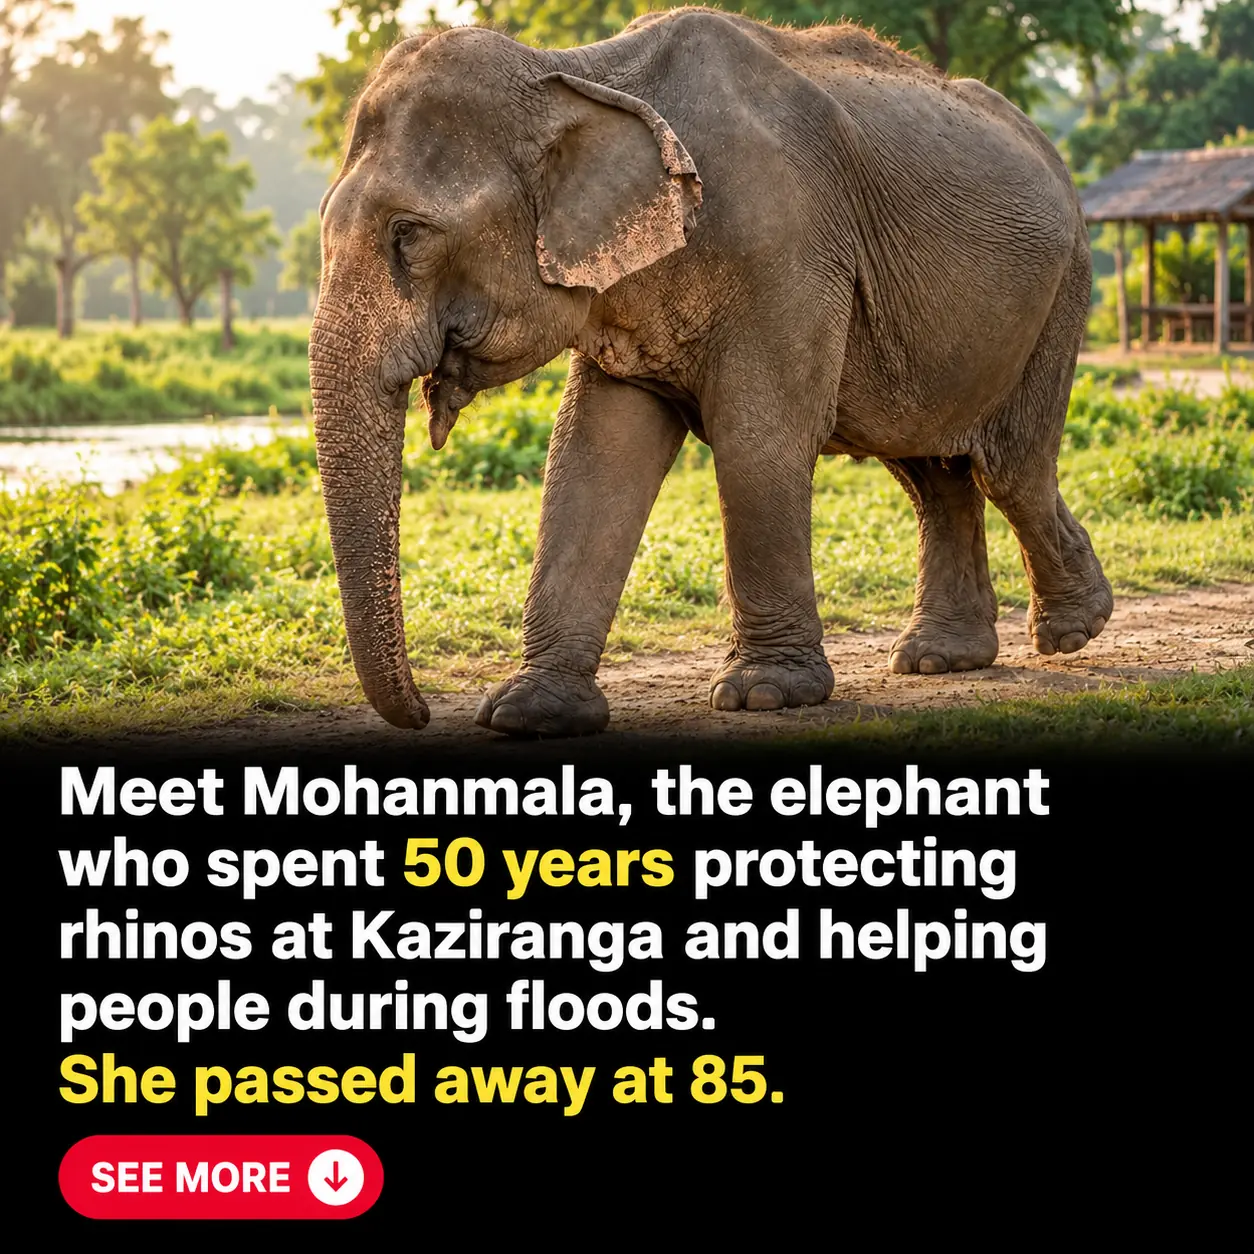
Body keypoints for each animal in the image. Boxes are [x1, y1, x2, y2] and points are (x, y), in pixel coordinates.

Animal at [310, 7, 1113, 737]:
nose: (419, 714)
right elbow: (594, 452)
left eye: (409, 236)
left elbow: (758, 437)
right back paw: (940, 659)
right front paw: (528, 713)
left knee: (1004, 467)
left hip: (1062, 290)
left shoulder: (786, 246)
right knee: (929, 469)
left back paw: (1073, 631)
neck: (579, 71)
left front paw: (766, 695)